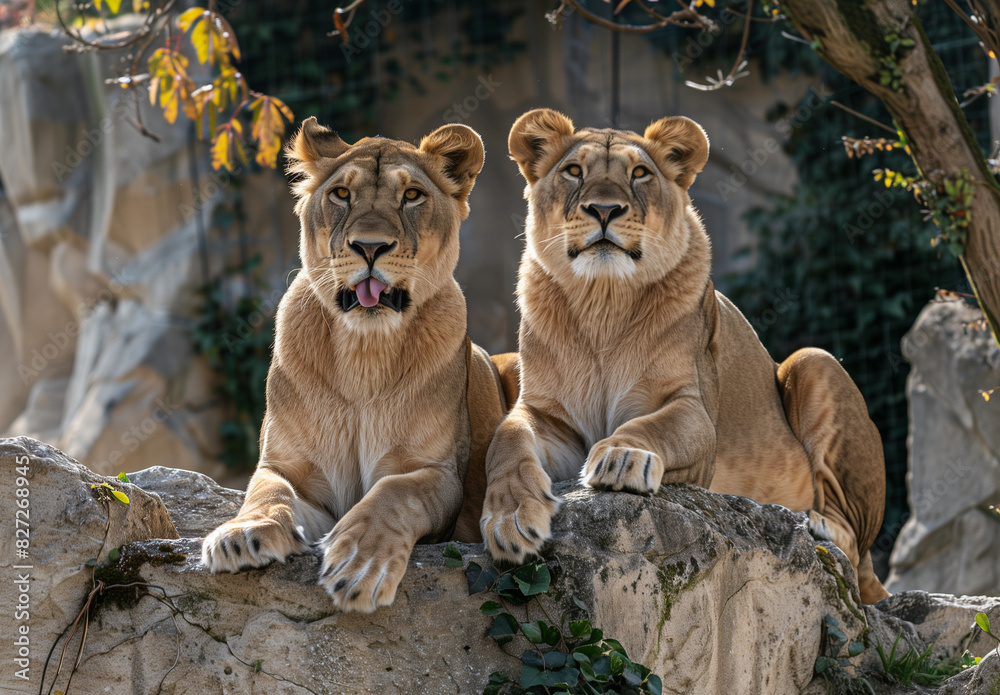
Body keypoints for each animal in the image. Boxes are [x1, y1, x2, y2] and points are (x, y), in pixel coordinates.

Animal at [201, 117, 511, 613]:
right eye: (342, 194)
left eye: (412, 195)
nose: (369, 247)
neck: (363, 351)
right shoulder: (291, 470)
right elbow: (266, 493)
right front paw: (242, 533)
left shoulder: (437, 474)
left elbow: (393, 495)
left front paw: (359, 563)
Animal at [481, 108, 889, 604]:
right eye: (573, 171)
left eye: (640, 174)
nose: (604, 210)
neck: (603, 302)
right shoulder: (545, 414)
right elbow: (506, 442)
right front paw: (509, 521)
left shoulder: (694, 411)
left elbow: (653, 425)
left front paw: (624, 457)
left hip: (815, 361)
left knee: (854, 548)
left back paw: (816, 524)